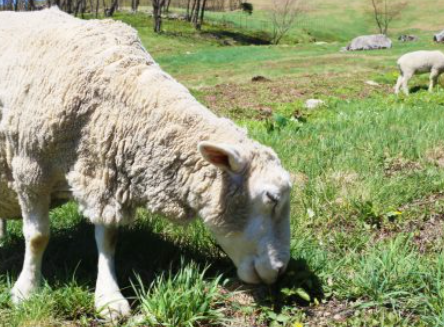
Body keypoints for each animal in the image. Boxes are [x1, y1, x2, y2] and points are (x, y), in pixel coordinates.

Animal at [0, 8, 294, 320]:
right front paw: (26, 291)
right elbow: (37, 236)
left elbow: (108, 238)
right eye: (271, 198)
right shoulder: (30, 169)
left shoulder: (105, 171)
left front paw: (109, 297)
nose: (280, 271)